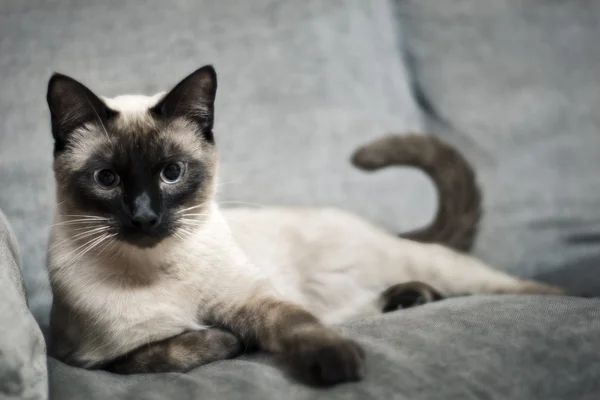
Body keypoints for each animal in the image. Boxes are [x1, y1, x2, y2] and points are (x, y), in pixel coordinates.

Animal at [45, 66, 564, 388]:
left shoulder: (254, 301)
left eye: (171, 173)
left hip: (441, 268)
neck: (158, 269)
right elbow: (170, 350)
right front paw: (226, 340)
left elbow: (300, 326)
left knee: (523, 287)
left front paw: (338, 365)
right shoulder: (93, 359)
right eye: (108, 179)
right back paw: (408, 299)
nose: (145, 217)